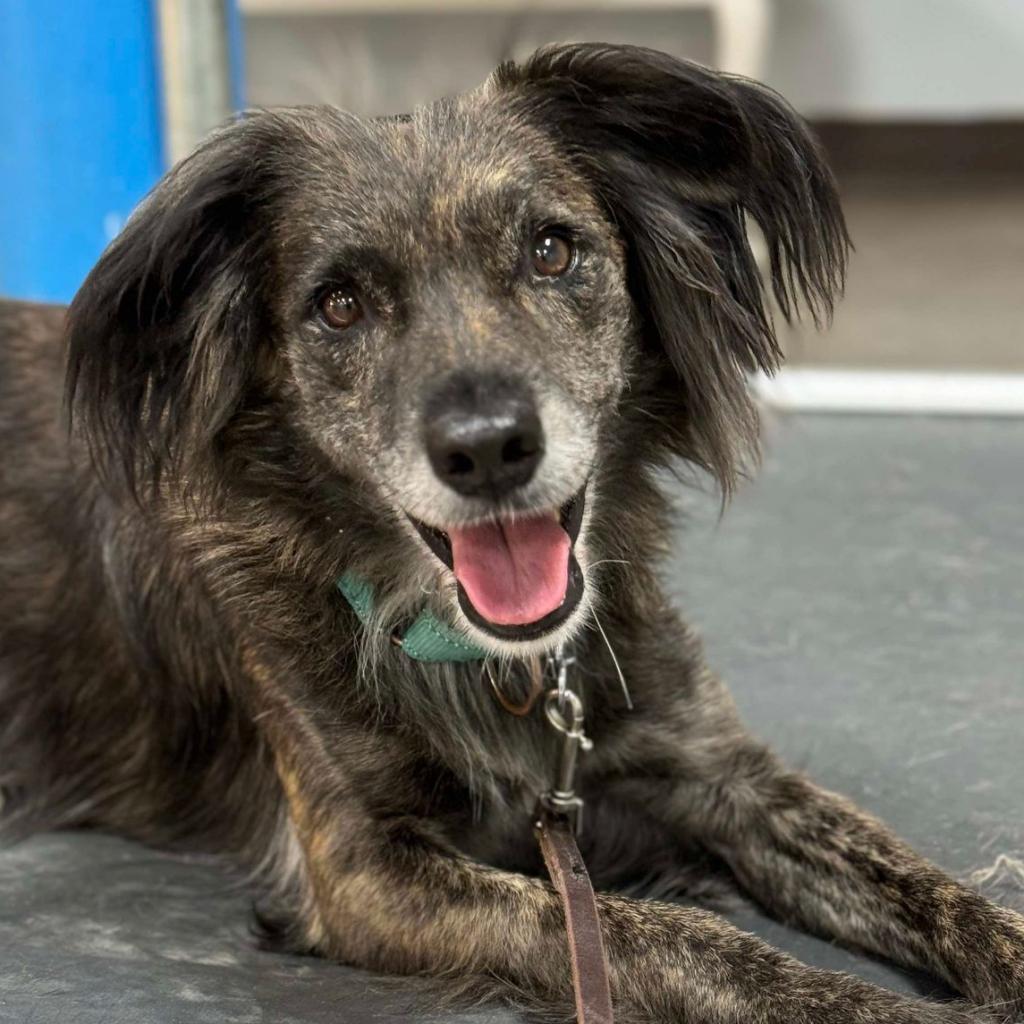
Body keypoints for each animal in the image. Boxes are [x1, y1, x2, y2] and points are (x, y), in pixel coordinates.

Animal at [2, 41, 1024, 1024]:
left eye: (550, 251)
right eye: (339, 303)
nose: (489, 449)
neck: (500, 664)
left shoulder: (722, 770)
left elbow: (929, 884)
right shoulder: (371, 874)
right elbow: (675, 937)